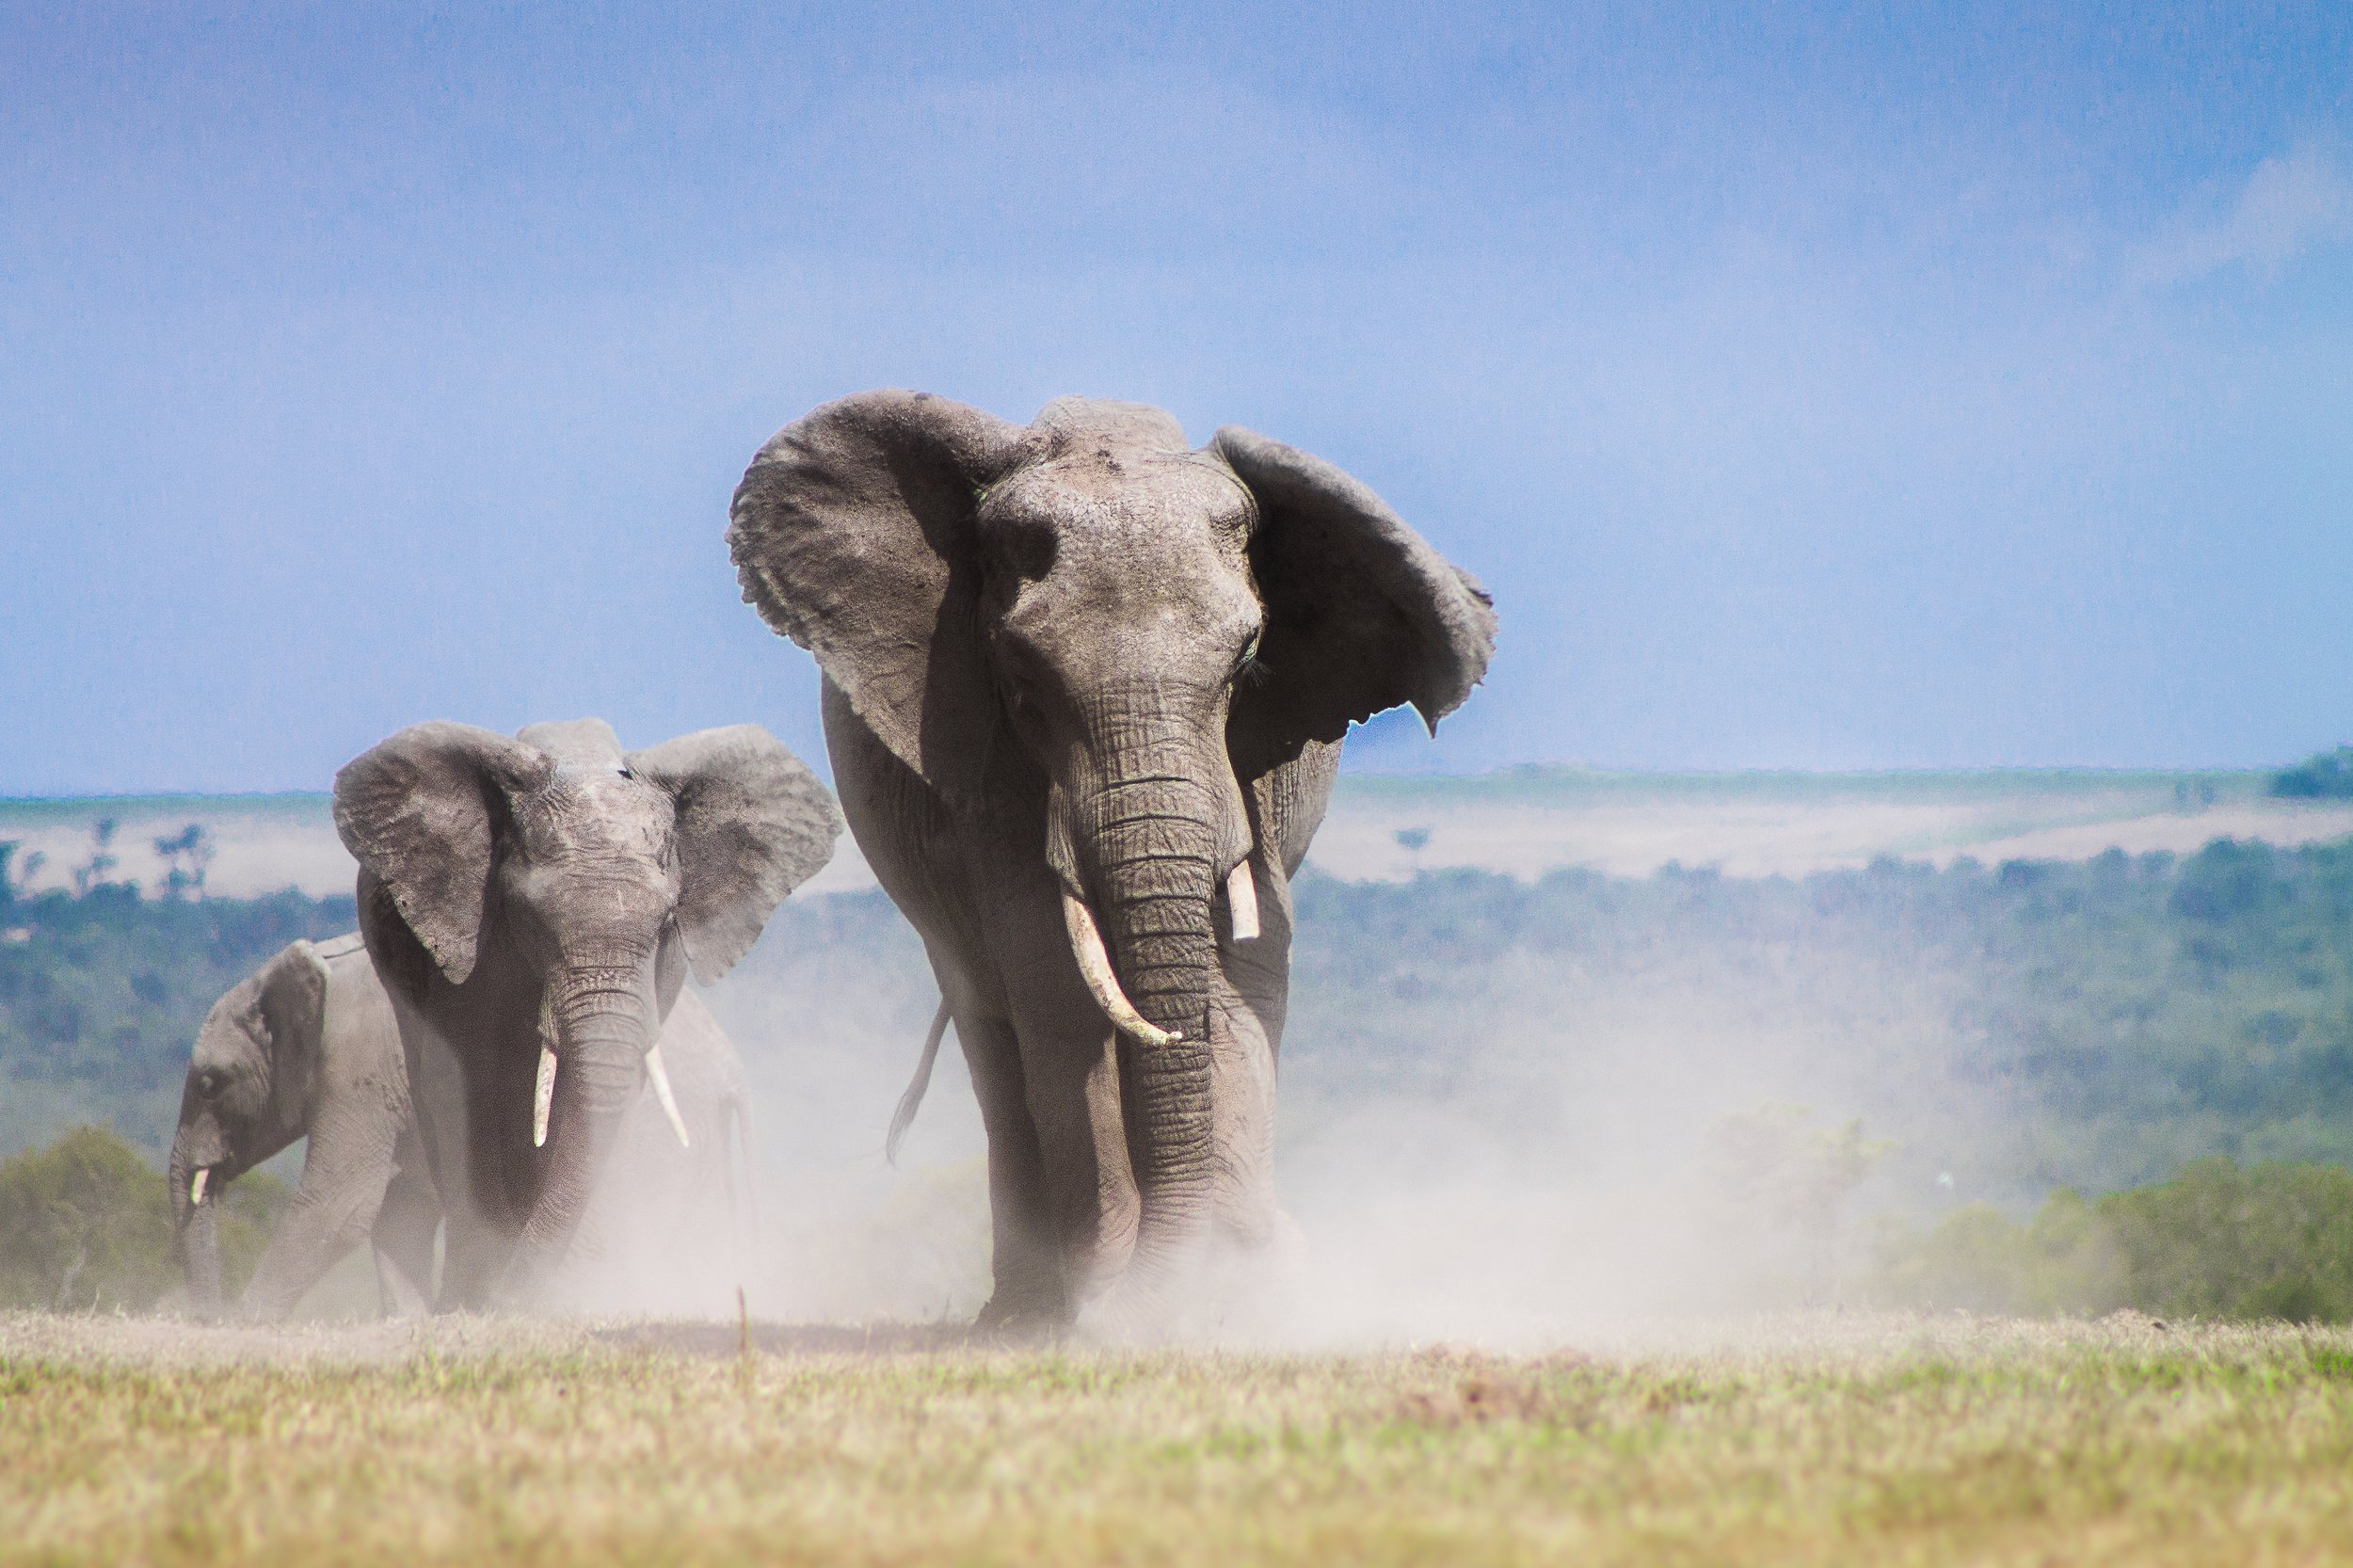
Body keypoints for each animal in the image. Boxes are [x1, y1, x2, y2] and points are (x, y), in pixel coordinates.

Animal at [169, 932, 760, 1319]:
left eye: (210, 1084)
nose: (205, 1319)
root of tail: (731, 1068)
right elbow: (396, 1212)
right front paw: (412, 1323)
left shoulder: (361, 1067)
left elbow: (341, 1205)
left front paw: (245, 1329)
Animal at [335, 716, 837, 1309]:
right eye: (529, 917)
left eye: (668, 921)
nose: (511, 1300)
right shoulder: (465, 947)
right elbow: (469, 1083)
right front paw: (483, 1296)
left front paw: (564, 1294)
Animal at [727, 390, 1495, 1334]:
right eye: (1022, 676)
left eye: (1248, 663)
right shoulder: (989, 765)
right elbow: (1055, 980)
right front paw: (1115, 1311)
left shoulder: (1252, 771)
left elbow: (1246, 967)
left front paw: (1248, 1294)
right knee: (990, 1026)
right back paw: (1018, 1318)